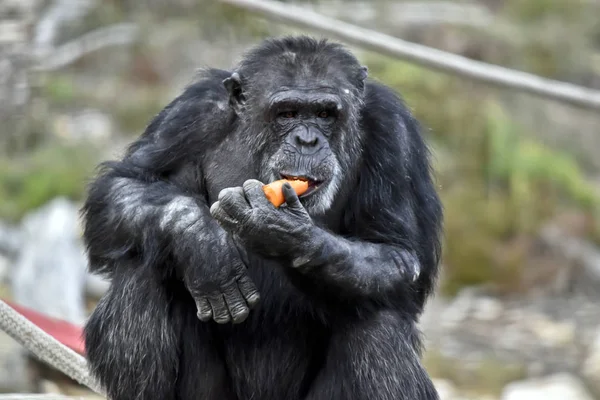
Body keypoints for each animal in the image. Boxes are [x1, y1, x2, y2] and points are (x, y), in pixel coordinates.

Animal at [81, 35, 440, 400]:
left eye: (325, 113)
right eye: (288, 113)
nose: (307, 139)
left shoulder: (392, 132)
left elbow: (398, 253)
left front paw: (283, 232)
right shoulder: (191, 112)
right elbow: (123, 184)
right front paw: (204, 241)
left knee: (378, 324)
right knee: (143, 266)